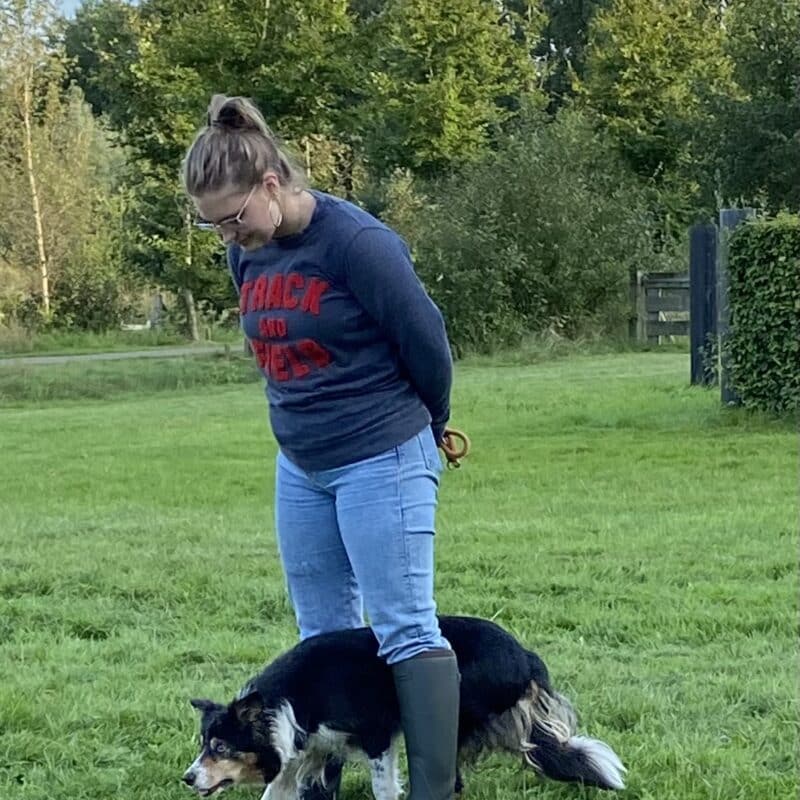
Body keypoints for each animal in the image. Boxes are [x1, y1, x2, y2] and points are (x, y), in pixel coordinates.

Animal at [183, 615, 626, 799]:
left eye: (220, 748)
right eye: (204, 745)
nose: (187, 778)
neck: (290, 700)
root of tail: (526, 657)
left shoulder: (377, 734)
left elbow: (383, 785)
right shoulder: (310, 748)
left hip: (459, 708)